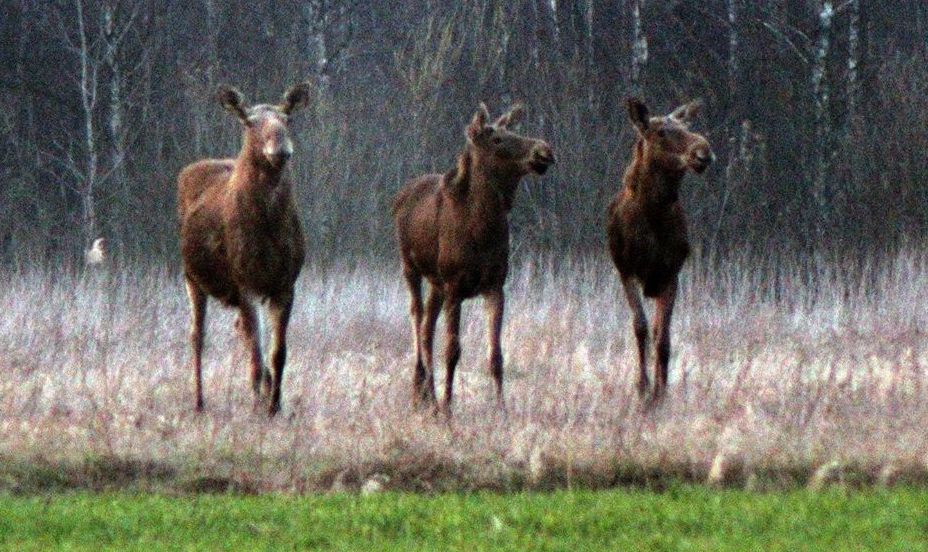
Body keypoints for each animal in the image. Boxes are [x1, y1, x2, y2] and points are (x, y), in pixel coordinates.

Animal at [178, 82, 312, 416]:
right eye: (250, 123)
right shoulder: (244, 282)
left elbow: (278, 353)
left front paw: (275, 405)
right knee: (197, 335)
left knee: (241, 329)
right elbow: (256, 355)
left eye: (287, 119)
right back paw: (199, 401)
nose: (281, 150)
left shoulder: (285, 285)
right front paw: (259, 406)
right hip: (191, 276)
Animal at [390, 102, 556, 414]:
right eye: (497, 139)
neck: (482, 229)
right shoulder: (455, 286)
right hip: (410, 267)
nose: (544, 151)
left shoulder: (495, 286)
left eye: (512, 131)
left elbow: (497, 355)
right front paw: (448, 408)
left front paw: (501, 409)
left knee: (427, 327)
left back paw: (428, 395)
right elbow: (452, 351)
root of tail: (399, 196)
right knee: (417, 317)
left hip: (437, 283)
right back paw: (422, 391)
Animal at [604, 97, 716, 404]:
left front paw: (661, 391)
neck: (653, 216)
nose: (703, 151)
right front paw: (642, 388)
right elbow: (640, 328)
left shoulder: (670, 274)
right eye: (662, 132)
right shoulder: (627, 271)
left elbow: (663, 336)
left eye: (687, 126)